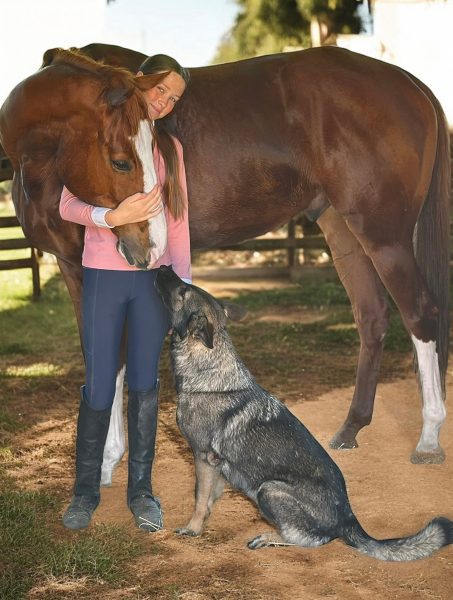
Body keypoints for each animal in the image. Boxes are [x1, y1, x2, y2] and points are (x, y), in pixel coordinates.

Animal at [0, 44, 446, 478]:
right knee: (372, 316)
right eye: (121, 161)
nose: (155, 246)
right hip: (342, 229)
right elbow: (99, 357)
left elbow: (117, 359)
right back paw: (351, 428)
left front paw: (108, 461)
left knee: (420, 314)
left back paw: (428, 438)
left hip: (385, 235)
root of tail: (409, 82)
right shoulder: (73, 267)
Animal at [155, 264, 452, 560]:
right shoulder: (215, 465)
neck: (209, 371)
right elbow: (210, 496)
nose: (163, 266)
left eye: (183, 290)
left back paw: (269, 537)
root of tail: (348, 519)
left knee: (310, 539)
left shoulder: (202, 456)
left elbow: (199, 498)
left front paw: (192, 528)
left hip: (269, 489)